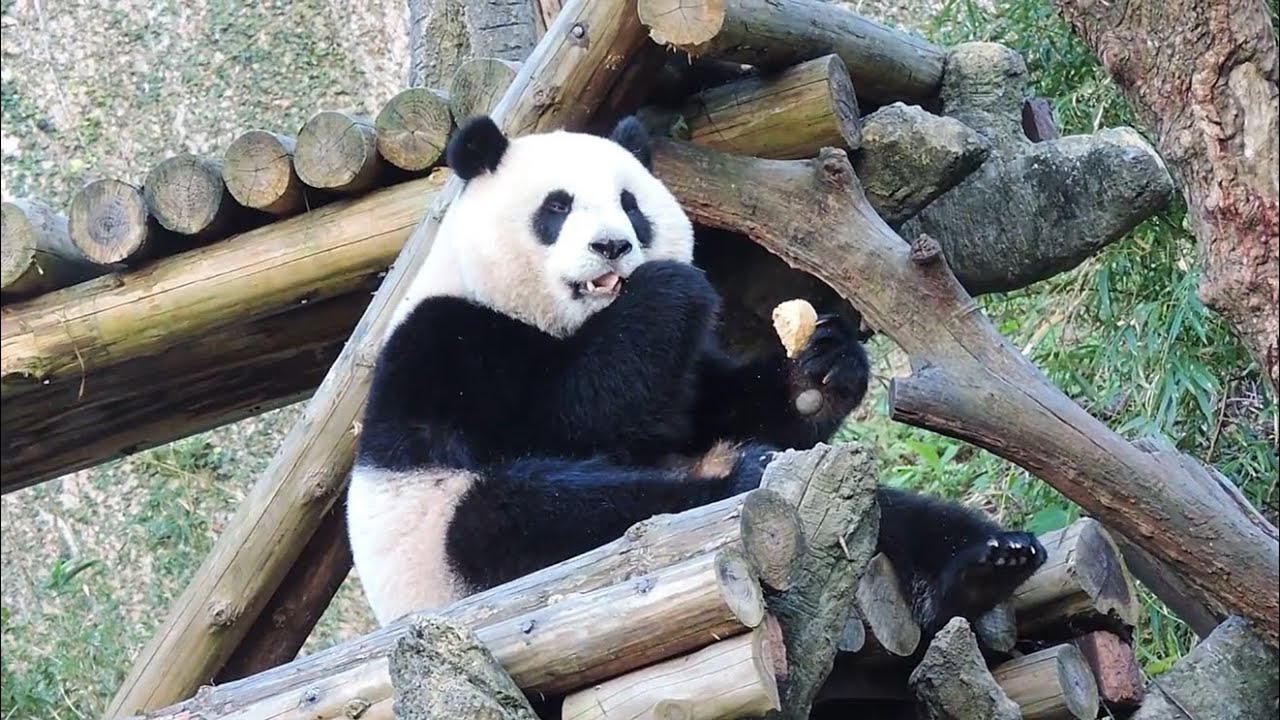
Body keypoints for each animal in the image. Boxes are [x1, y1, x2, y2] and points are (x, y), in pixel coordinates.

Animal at [346, 113, 1047, 640]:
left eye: (631, 205)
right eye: (557, 207)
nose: (612, 246)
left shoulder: (682, 379)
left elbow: (710, 403)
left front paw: (822, 366)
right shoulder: (448, 341)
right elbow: (561, 417)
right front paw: (669, 286)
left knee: (897, 513)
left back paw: (986, 566)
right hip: (444, 553)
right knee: (529, 514)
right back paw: (739, 477)